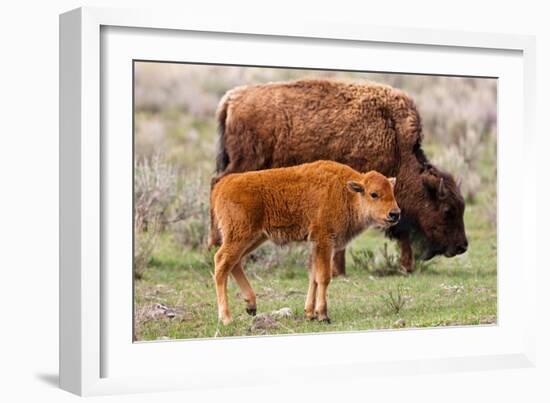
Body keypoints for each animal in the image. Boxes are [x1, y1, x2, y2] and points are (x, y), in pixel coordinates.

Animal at [209, 79, 468, 274]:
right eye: (447, 210)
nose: (462, 246)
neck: (394, 139)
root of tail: (231, 99)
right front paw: (339, 270)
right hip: (246, 164)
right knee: (218, 184)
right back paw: (215, 242)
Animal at [211, 161, 402, 326]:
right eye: (374, 194)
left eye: (392, 192)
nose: (395, 214)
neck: (346, 192)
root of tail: (222, 186)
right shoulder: (324, 240)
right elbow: (324, 277)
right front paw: (323, 315)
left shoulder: (316, 245)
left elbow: (313, 277)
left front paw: (310, 313)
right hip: (240, 237)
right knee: (221, 262)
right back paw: (226, 318)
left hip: (254, 238)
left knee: (234, 263)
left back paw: (251, 306)